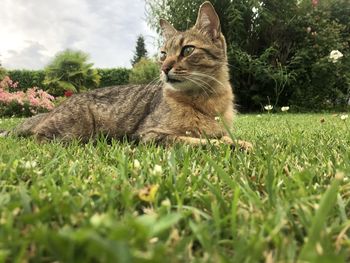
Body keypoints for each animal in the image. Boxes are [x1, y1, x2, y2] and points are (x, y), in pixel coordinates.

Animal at [4, 1, 252, 151]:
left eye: (188, 50)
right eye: (163, 54)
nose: (164, 68)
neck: (208, 100)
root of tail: (54, 109)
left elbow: (223, 137)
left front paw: (241, 142)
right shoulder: (150, 135)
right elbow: (203, 141)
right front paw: (235, 146)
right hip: (75, 128)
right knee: (40, 137)